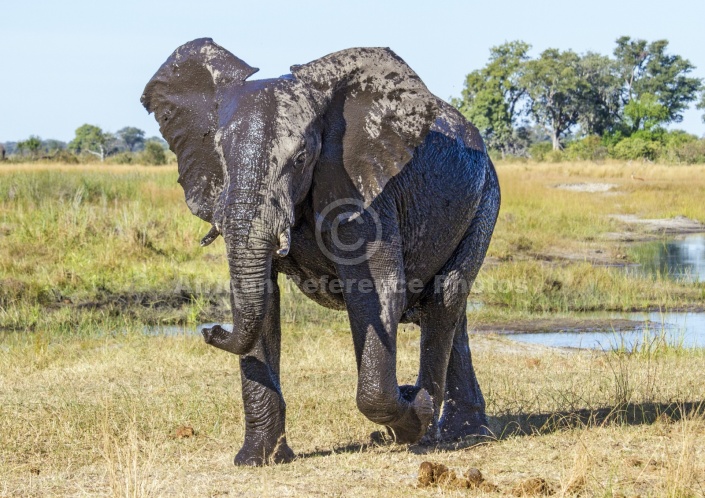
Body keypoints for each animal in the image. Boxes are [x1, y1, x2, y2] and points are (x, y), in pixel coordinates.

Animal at [139, 39, 500, 466]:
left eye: (300, 158)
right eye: (221, 157)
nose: (211, 330)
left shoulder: (364, 190)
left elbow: (376, 290)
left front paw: (415, 412)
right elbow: (263, 299)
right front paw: (258, 460)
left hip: (485, 198)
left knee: (446, 298)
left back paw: (434, 431)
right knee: (451, 312)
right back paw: (465, 433)